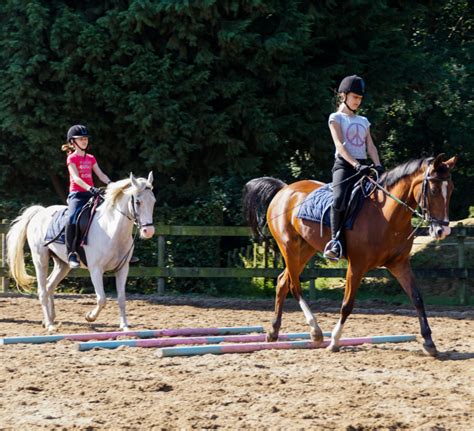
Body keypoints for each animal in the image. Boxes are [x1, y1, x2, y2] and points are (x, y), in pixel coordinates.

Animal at [6, 171, 156, 330]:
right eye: (138, 202)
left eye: (153, 201)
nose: (148, 231)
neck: (111, 230)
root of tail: (39, 213)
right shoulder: (96, 269)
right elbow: (102, 298)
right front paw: (89, 316)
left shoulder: (122, 269)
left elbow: (121, 298)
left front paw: (124, 326)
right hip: (40, 260)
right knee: (42, 290)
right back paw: (50, 325)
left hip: (62, 264)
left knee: (49, 285)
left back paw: (50, 319)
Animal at [243, 154, 458, 356]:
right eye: (433, 190)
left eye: (451, 189)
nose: (442, 231)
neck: (387, 216)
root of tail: (284, 189)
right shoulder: (357, 265)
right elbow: (347, 304)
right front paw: (335, 341)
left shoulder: (400, 264)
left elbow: (417, 299)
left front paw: (429, 343)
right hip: (289, 247)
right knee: (294, 286)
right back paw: (316, 331)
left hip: (305, 250)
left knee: (282, 281)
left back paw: (273, 332)